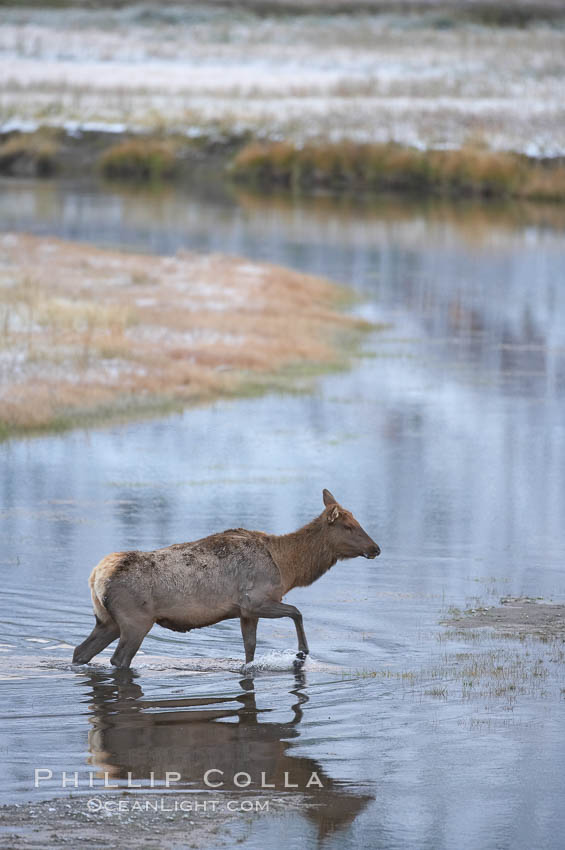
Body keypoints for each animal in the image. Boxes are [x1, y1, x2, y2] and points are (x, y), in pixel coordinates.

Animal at [71, 490, 378, 668]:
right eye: (349, 526)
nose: (376, 548)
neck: (287, 568)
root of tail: (95, 576)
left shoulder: (245, 611)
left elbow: (250, 648)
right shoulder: (255, 600)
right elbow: (297, 612)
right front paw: (302, 652)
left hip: (107, 620)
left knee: (80, 651)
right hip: (135, 620)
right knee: (118, 659)